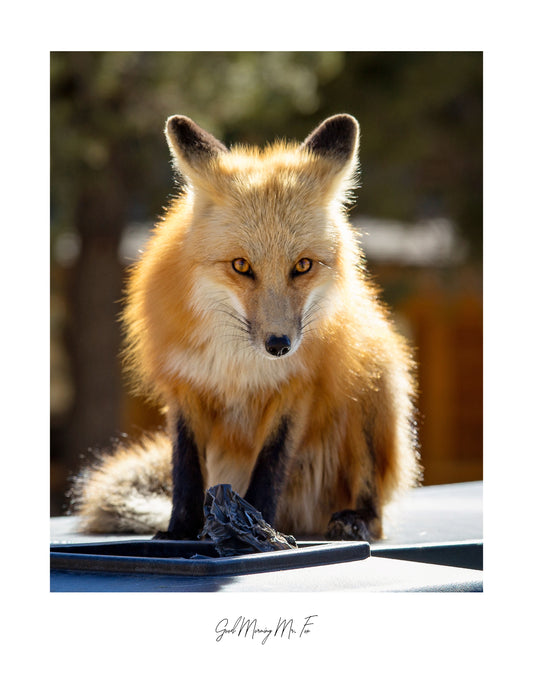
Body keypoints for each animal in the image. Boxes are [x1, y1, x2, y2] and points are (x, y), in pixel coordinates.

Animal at [72, 113, 420, 542]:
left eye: (302, 266)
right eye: (241, 266)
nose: (279, 345)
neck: (239, 365)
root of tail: (303, 517)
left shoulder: (296, 388)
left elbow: (271, 465)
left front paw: (262, 530)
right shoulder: (185, 386)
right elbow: (186, 470)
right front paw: (179, 531)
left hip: (374, 379)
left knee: (375, 503)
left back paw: (353, 520)